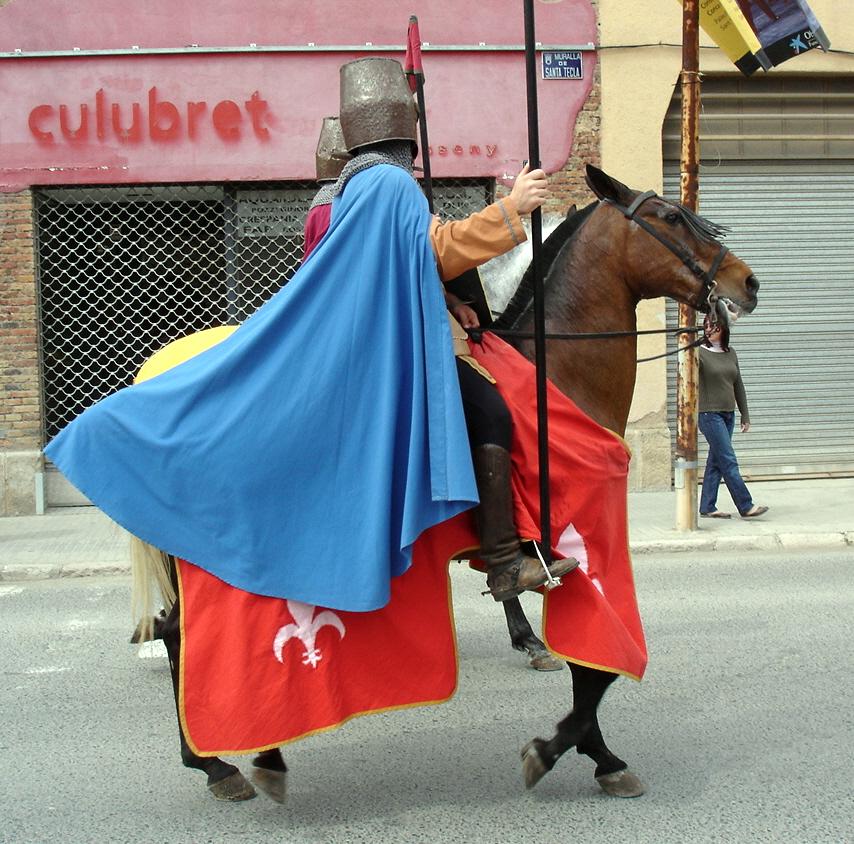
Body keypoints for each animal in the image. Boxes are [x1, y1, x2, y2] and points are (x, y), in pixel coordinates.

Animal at [130, 163, 760, 796]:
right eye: (671, 216)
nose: (747, 281)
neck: (555, 371)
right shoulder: (582, 544)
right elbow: (596, 670)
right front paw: (569, 750)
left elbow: (590, 666)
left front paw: (585, 745)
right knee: (183, 635)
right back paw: (221, 759)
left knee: (175, 629)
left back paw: (223, 757)